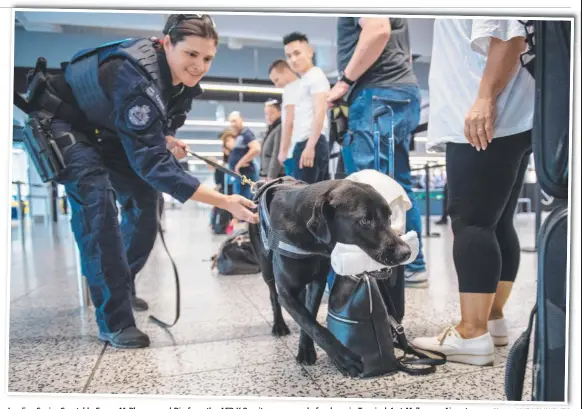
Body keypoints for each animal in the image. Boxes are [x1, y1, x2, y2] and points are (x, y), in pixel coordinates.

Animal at [249, 178, 412, 376]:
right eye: (365, 220)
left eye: (389, 217)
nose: (406, 252)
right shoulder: (287, 294)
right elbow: (310, 323)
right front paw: (343, 358)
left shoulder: (317, 283)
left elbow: (309, 316)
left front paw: (306, 349)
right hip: (266, 269)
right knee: (273, 296)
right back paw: (279, 325)